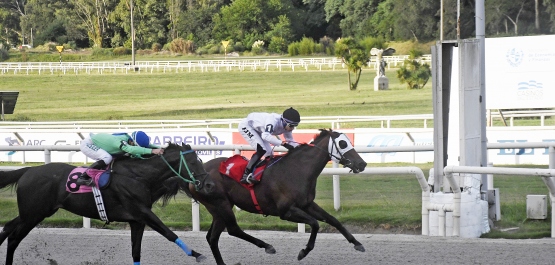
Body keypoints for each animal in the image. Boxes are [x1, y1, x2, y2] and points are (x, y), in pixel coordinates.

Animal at [0, 142, 214, 264]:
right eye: (193, 163)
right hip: (33, 214)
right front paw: (197, 254)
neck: (139, 176)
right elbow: (169, 233)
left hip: (34, 212)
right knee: (14, 238)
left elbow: (136, 252)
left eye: (199, 159)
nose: (209, 183)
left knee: (8, 227)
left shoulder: (137, 221)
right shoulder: (142, 212)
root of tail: (28, 170)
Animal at [191, 128, 370, 264]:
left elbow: (333, 220)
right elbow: (315, 224)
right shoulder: (286, 211)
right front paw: (304, 251)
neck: (296, 170)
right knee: (233, 229)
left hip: (218, 209)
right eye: (342, 143)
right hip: (220, 204)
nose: (362, 164)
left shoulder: (307, 204)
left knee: (212, 238)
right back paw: (267, 246)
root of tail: (195, 175)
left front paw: (357, 243)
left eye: (348, 141)